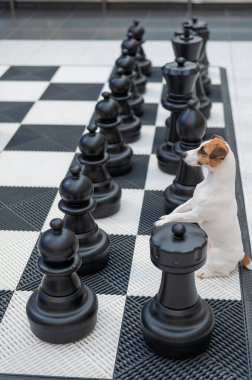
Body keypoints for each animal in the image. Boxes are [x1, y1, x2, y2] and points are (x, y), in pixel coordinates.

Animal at [155, 135, 252, 278]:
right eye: (199, 146)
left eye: (203, 152)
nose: (183, 154)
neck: (211, 182)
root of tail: (242, 255)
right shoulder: (191, 202)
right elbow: (178, 210)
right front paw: (166, 217)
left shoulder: (196, 215)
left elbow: (179, 216)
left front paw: (163, 222)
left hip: (217, 261)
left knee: (221, 272)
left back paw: (204, 273)